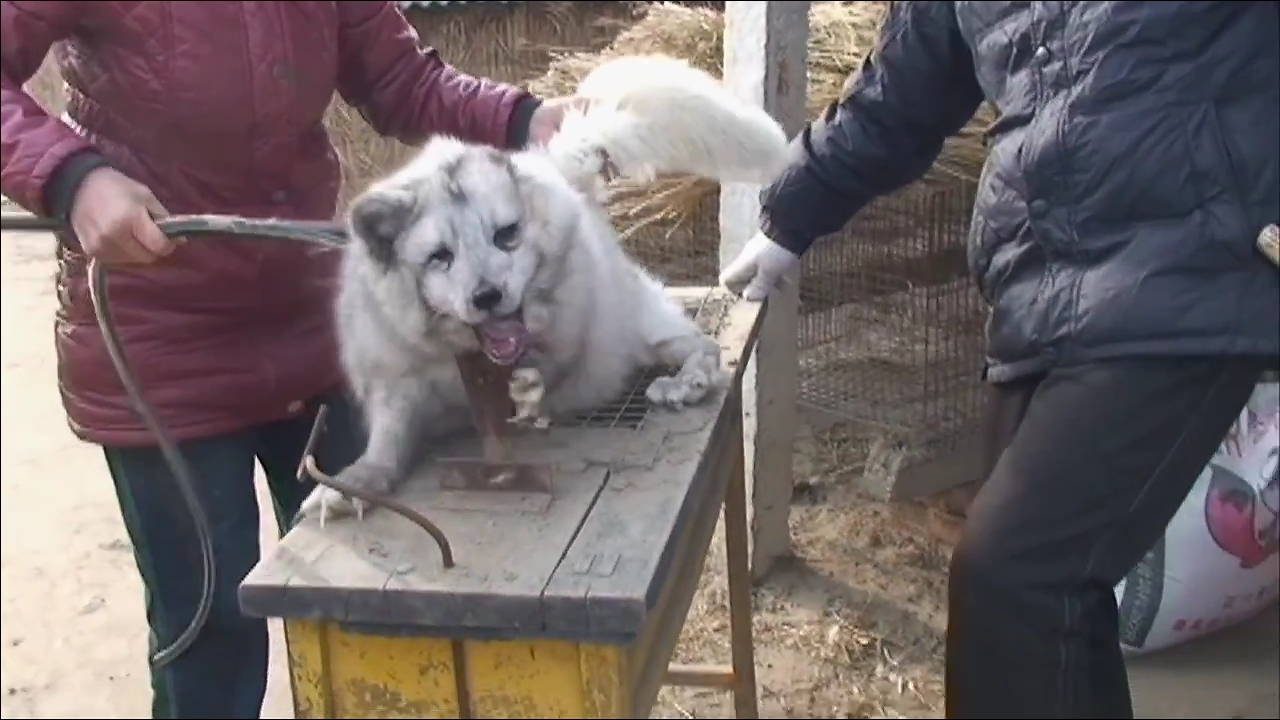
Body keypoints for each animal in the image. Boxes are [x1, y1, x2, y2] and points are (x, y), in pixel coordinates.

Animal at [302, 53, 788, 517]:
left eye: (506, 234)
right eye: (440, 256)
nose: (487, 296)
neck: (463, 356)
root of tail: (555, 167)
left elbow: (546, 370)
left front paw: (527, 387)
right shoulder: (394, 380)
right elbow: (388, 437)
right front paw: (356, 481)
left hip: (640, 326)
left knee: (702, 346)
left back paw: (687, 382)